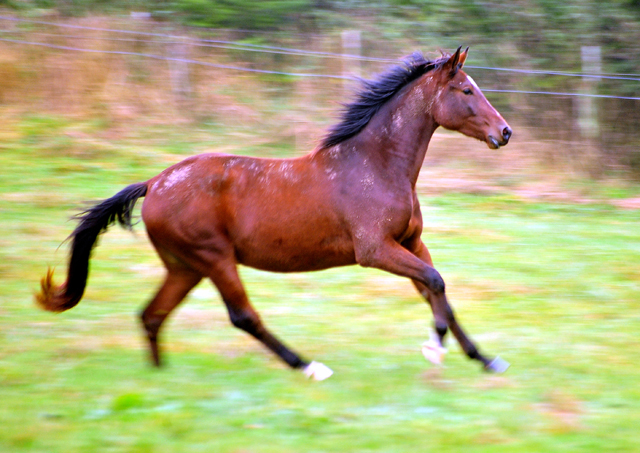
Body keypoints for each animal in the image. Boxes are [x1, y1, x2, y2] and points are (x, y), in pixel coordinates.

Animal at [37, 46, 512, 378]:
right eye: (466, 90)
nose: (505, 132)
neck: (375, 165)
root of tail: (153, 183)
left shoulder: (410, 242)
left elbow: (437, 290)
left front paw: (484, 359)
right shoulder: (375, 250)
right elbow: (434, 282)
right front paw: (435, 347)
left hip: (184, 266)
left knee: (152, 316)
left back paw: (159, 379)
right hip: (213, 258)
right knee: (242, 316)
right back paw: (308, 367)